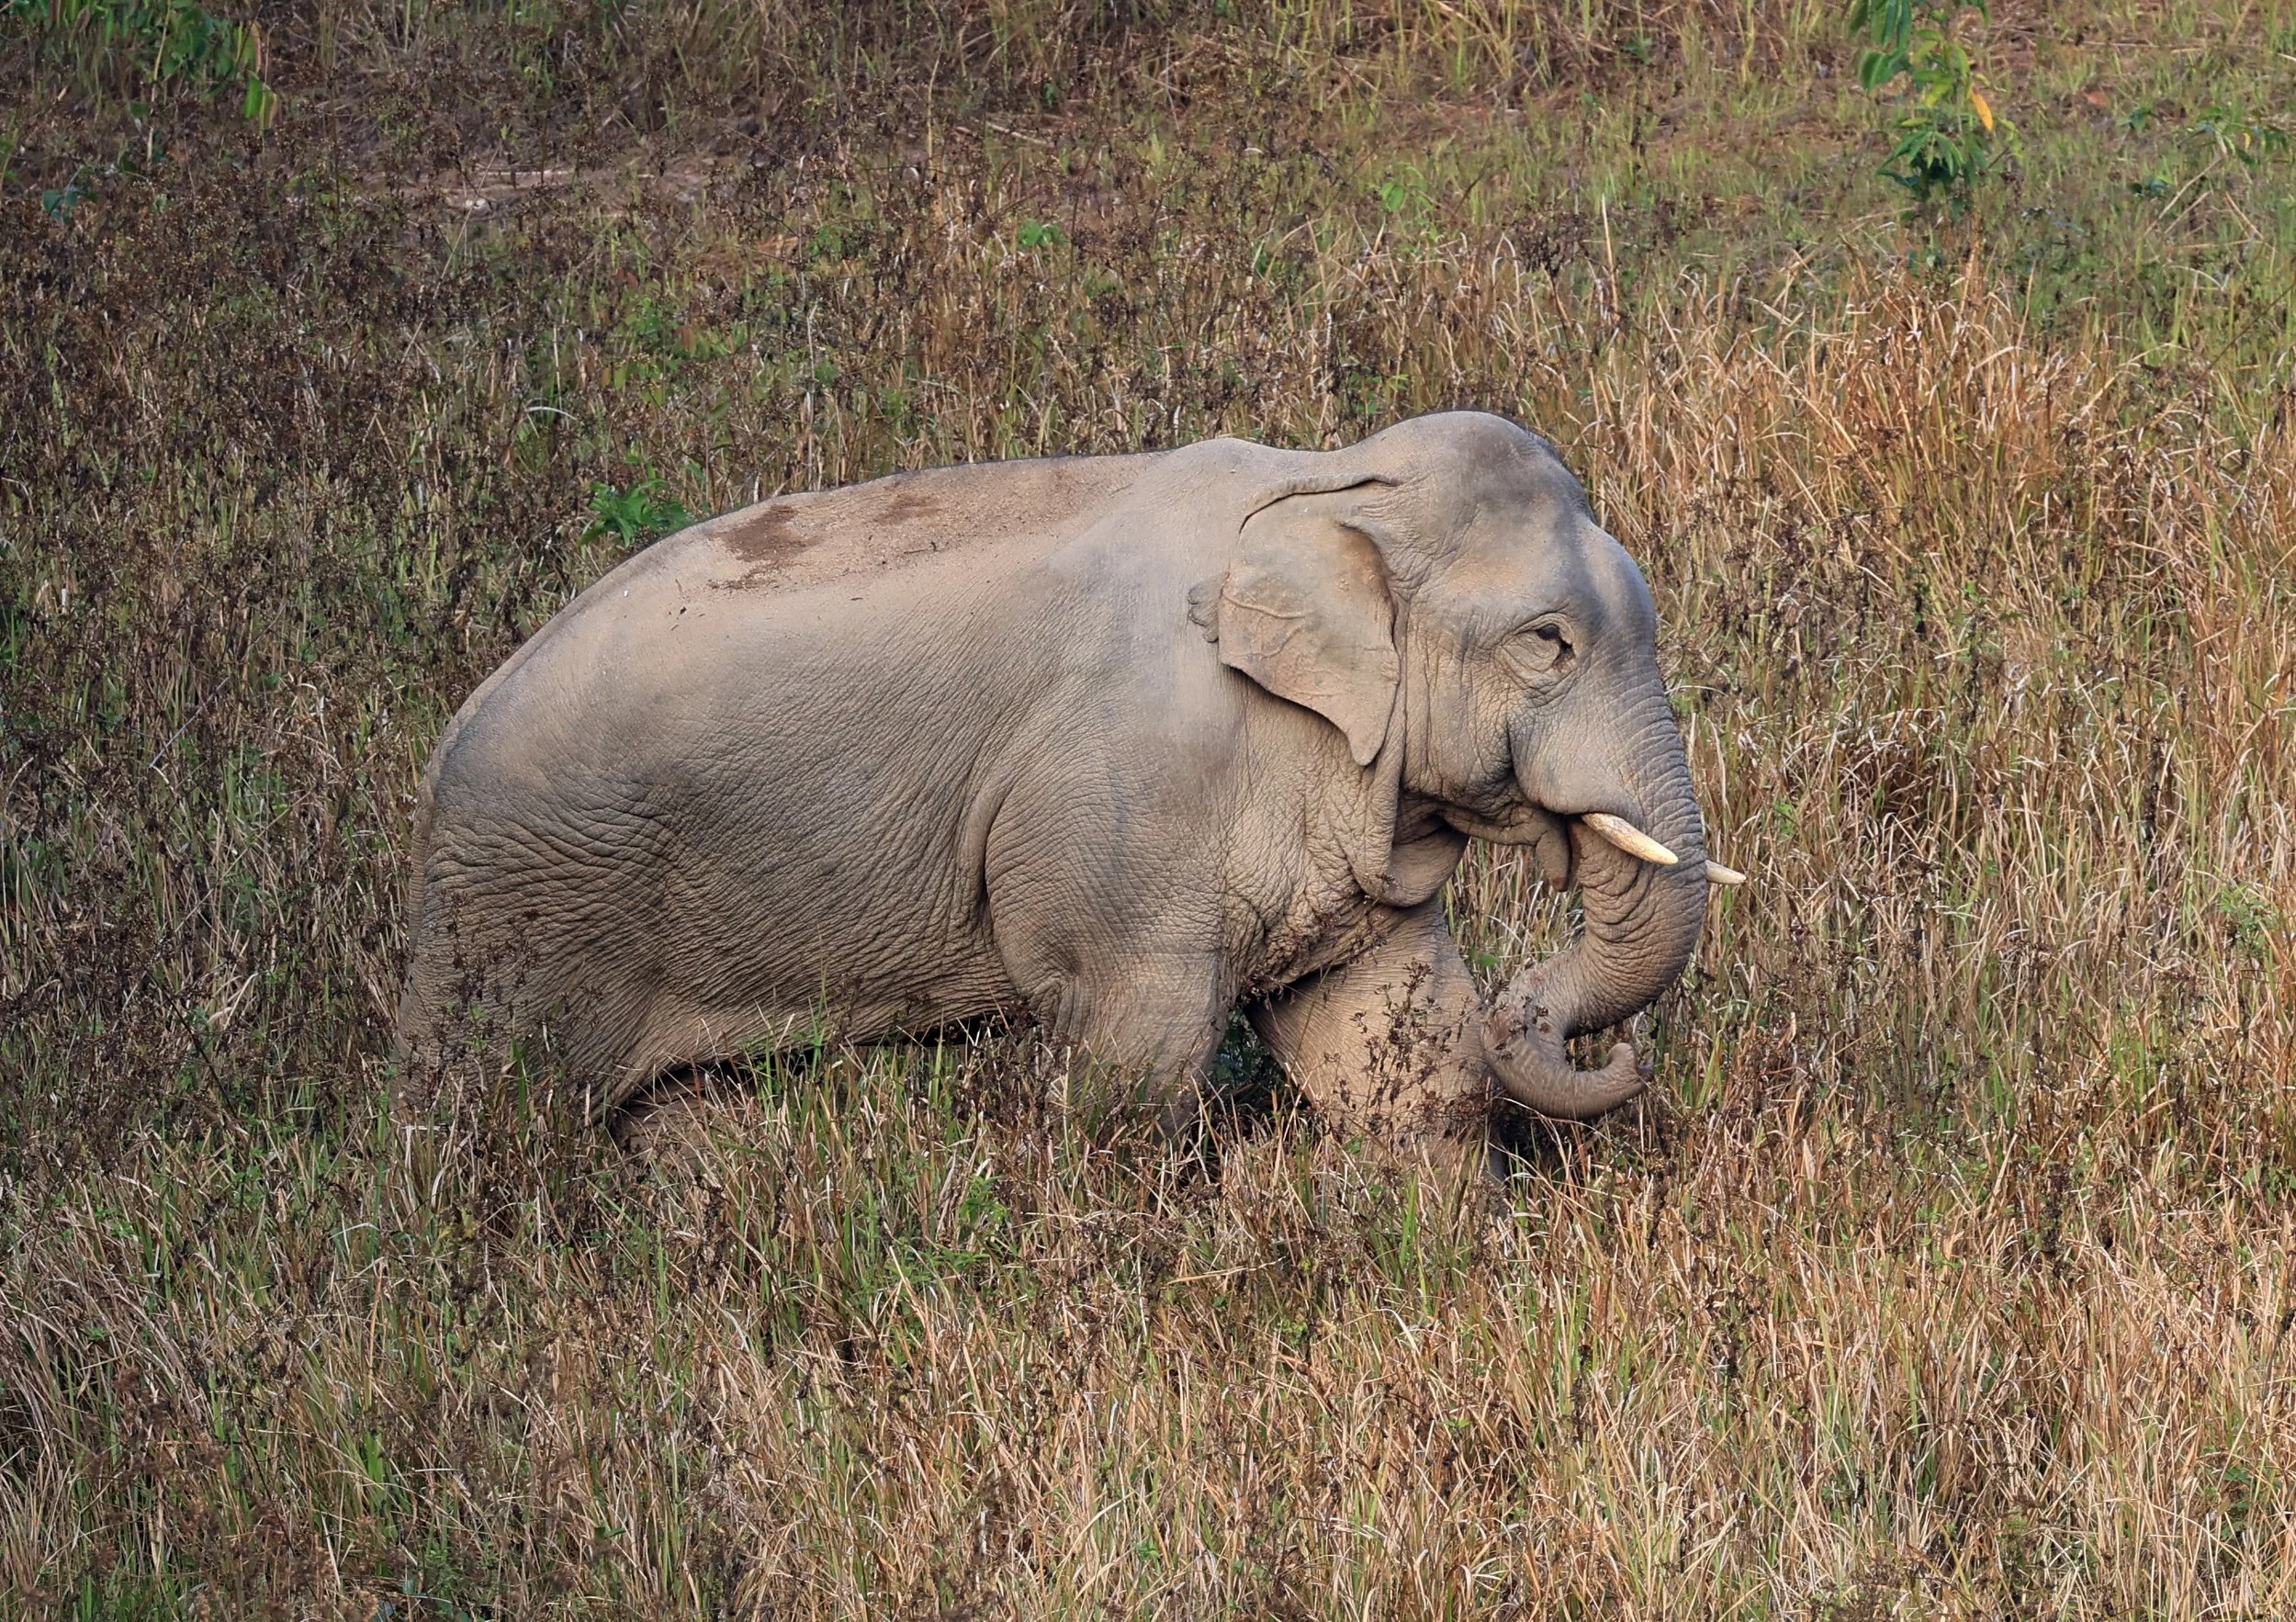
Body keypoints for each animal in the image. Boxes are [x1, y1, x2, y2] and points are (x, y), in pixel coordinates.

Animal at [396, 411, 1744, 1165]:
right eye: (1547, 643)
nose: (1627, 1051)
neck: (1328, 478)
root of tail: (447, 742)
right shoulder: (1127, 822)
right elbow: (1135, 1065)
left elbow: (1393, 1042)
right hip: (519, 926)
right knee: (485, 1130)